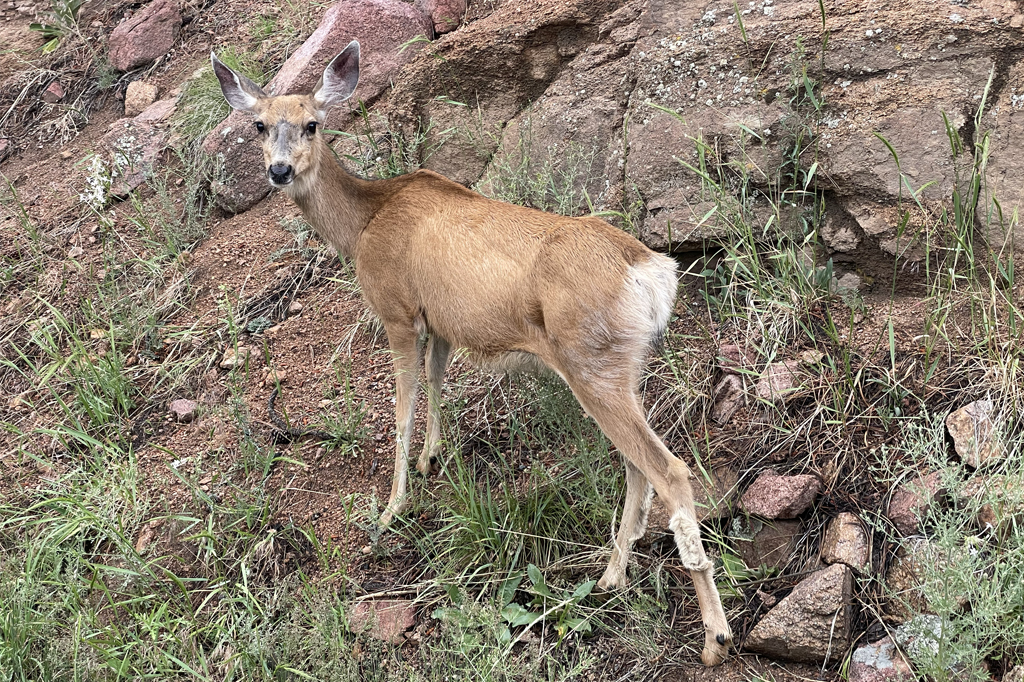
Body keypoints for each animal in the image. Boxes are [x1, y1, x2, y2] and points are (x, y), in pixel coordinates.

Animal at [213, 41, 732, 665]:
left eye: (312, 123)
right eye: (260, 125)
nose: (279, 170)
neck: (363, 223)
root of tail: (651, 271)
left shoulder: (396, 309)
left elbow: (402, 408)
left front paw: (392, 505)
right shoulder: (441, 324)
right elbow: (437, 384)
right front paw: (432, 458)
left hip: (591, 362)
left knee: (669, 469)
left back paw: (714, 635)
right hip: (619, 366)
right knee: (639, 465)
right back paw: (611, 576)